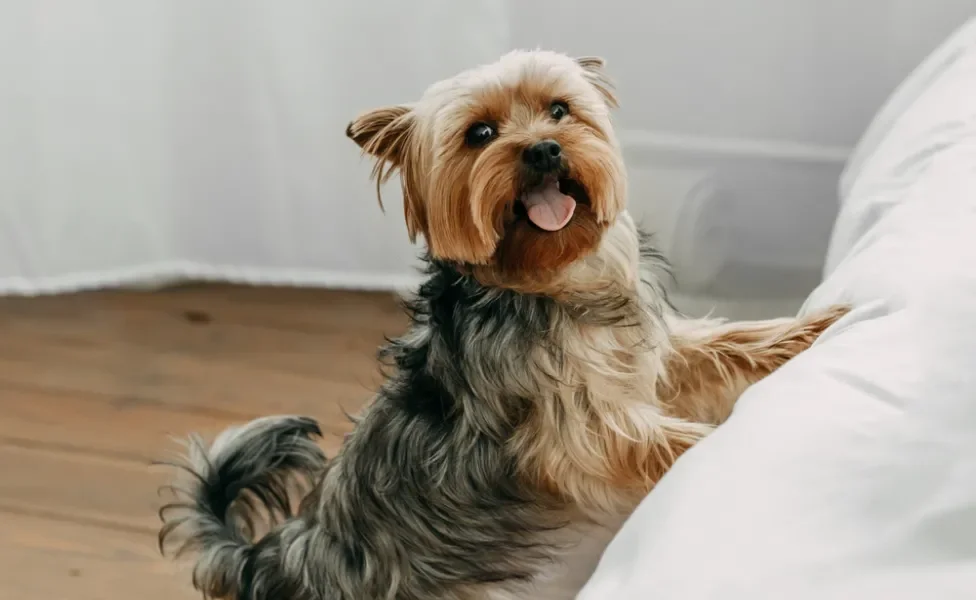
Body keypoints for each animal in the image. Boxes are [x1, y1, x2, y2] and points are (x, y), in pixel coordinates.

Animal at [158, 49, 848, 596]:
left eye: (560, 110)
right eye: (480, 133)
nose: (543, 148)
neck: (552, 286)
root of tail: (264, 558)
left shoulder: (647, 359)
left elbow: (721, 344)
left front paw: (813, 329)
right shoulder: (580, 433)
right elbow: (669, 440)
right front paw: (738, 444)